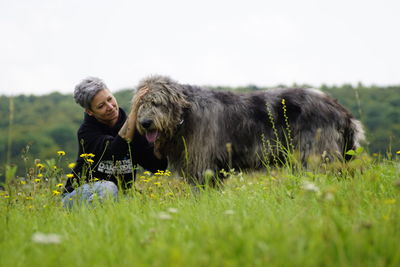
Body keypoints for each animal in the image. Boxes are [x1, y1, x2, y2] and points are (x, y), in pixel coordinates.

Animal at [134, 74, 362, 185]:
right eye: (140, 103)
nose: (145, 123)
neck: (185, 115)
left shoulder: (203, 163)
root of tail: (342, 111)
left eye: (158, 103)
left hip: (317, 154)